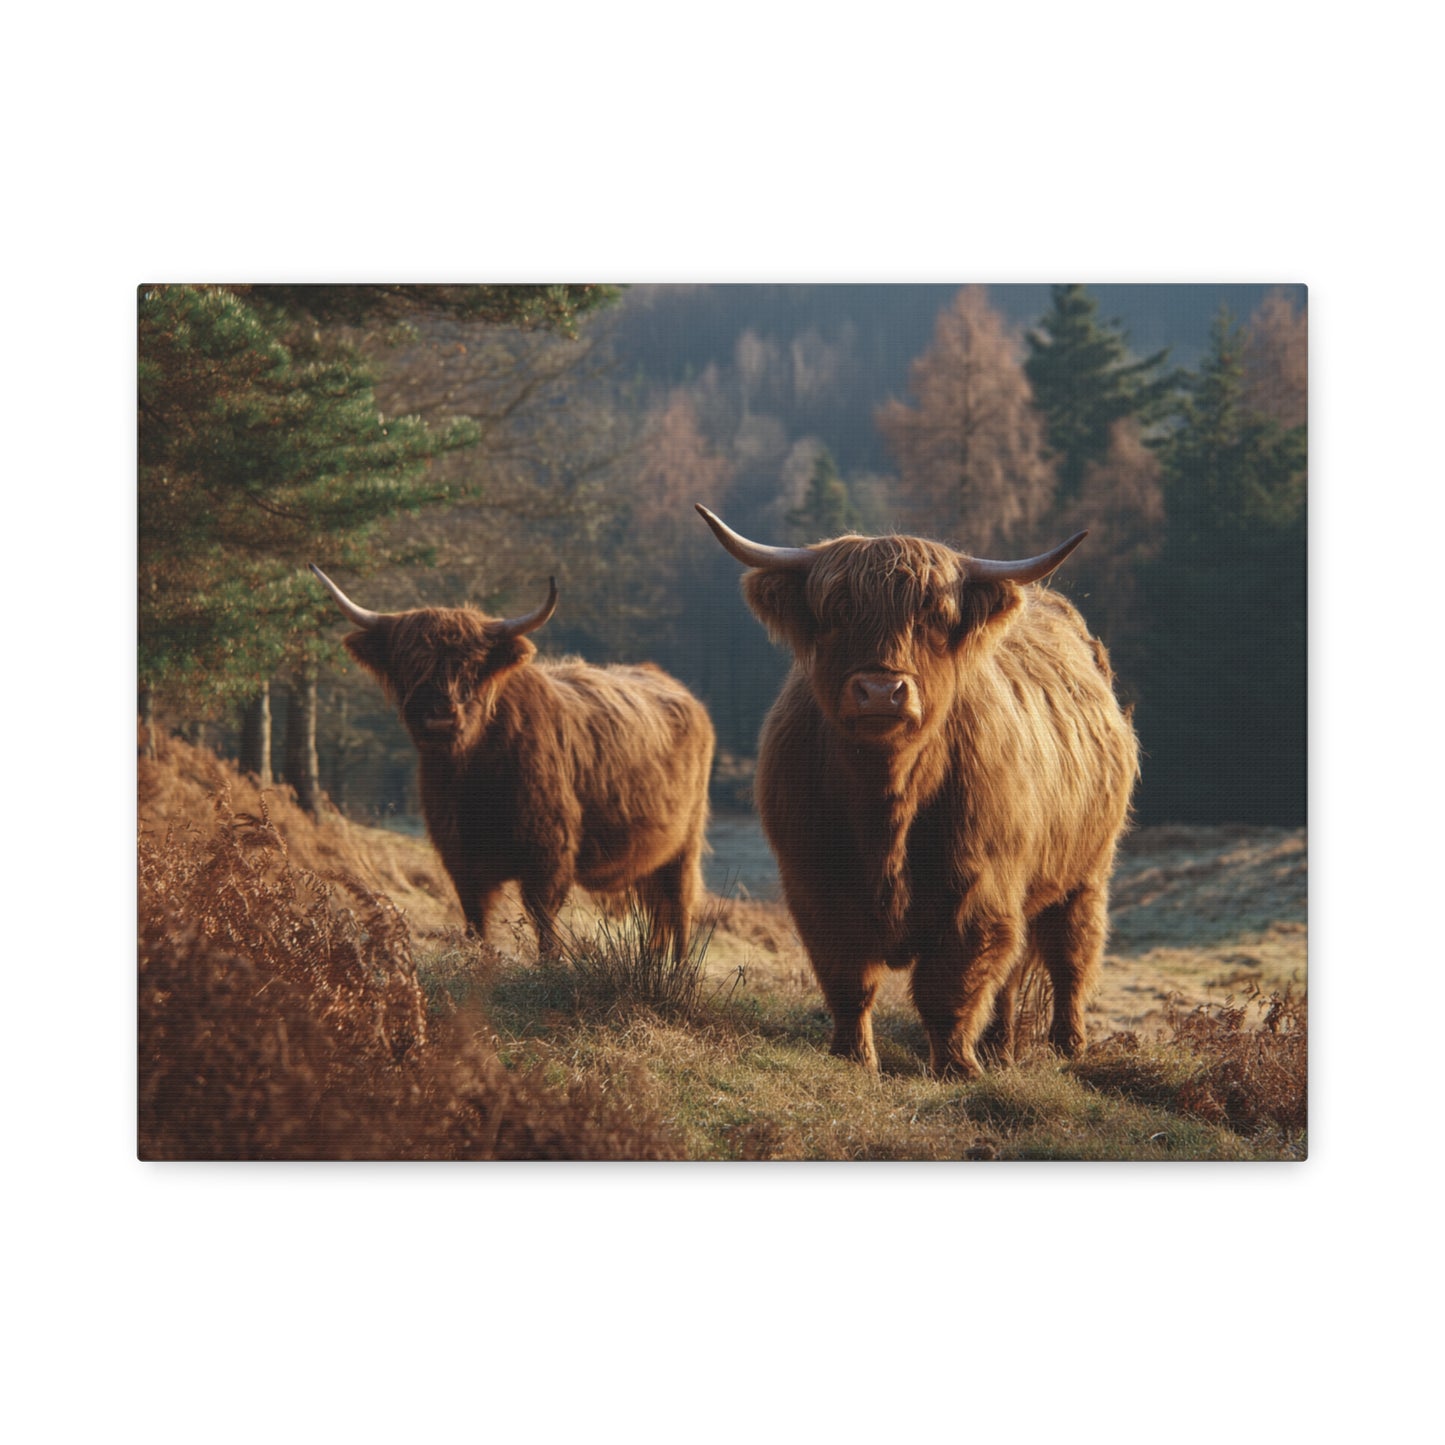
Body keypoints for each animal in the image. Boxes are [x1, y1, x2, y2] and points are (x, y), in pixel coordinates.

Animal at [310, 565, 715, 961]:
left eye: (473, 667)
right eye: (410, 663)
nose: (441, 718)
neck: (473, 775)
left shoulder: (549, 854)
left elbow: (543, 921)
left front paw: (550, 965)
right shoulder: (461, 856)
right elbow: (476, 922)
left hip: (685, 844)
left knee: (680, 909)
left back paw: (678, 971)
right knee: (656, 913)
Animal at [696, 505, 1138, 1080]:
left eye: (933, 618)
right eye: (837, 611)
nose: (881, 691)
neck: (886, 801)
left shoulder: (980, 891)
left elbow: (948, 986)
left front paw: (956, 1067)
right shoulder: (814, 886)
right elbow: (848, 980)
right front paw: (854, 1058)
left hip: (1086, 872)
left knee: (1071, 954)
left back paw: (1067, 1047)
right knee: (1014, 973)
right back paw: (1000, 1048)